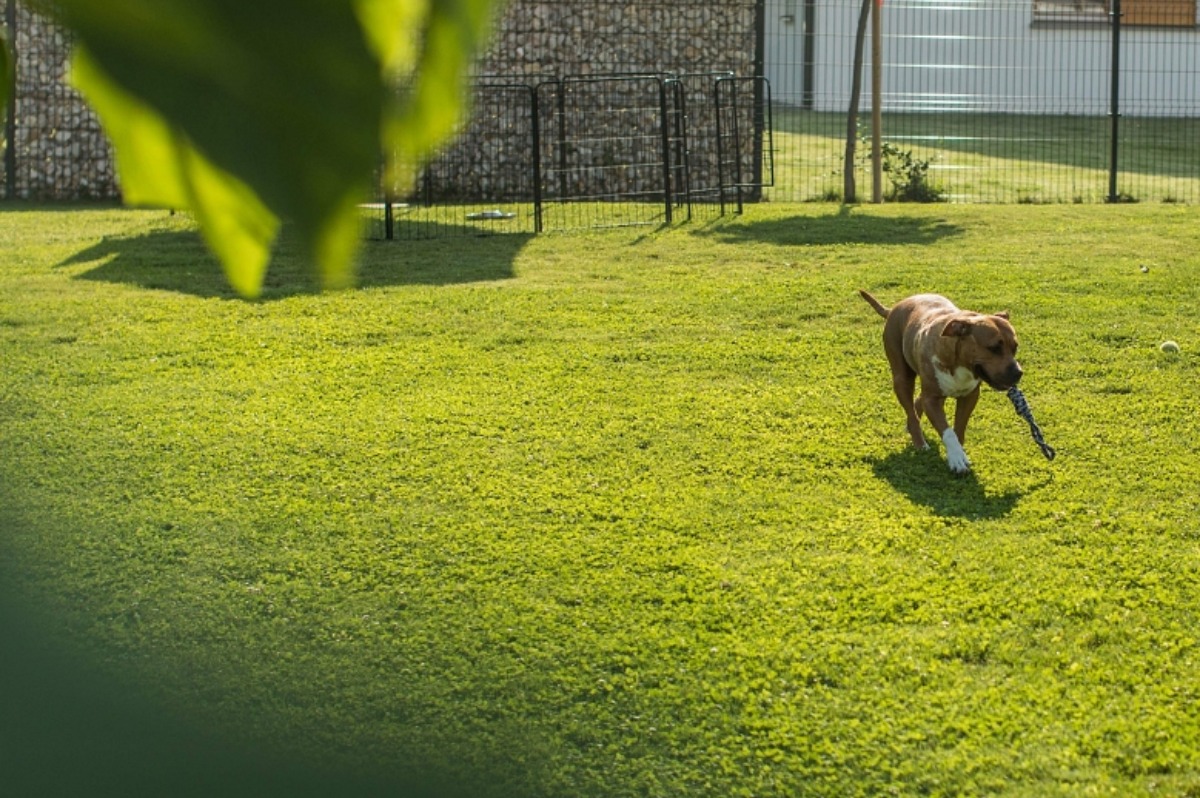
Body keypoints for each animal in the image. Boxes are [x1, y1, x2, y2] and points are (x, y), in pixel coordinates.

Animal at [860, 290, 1023, 473]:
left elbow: (959, 428)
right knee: (912, 412)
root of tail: (894, 308)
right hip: (901, 378)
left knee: (918, 402)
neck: (959, 364)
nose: (1018, 373)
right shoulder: (932, 399)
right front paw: (957, 458)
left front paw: (959, 452)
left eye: (1015, 347)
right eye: (994, 348)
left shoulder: (969, 397)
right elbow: (948, 432)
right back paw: (919, 442)